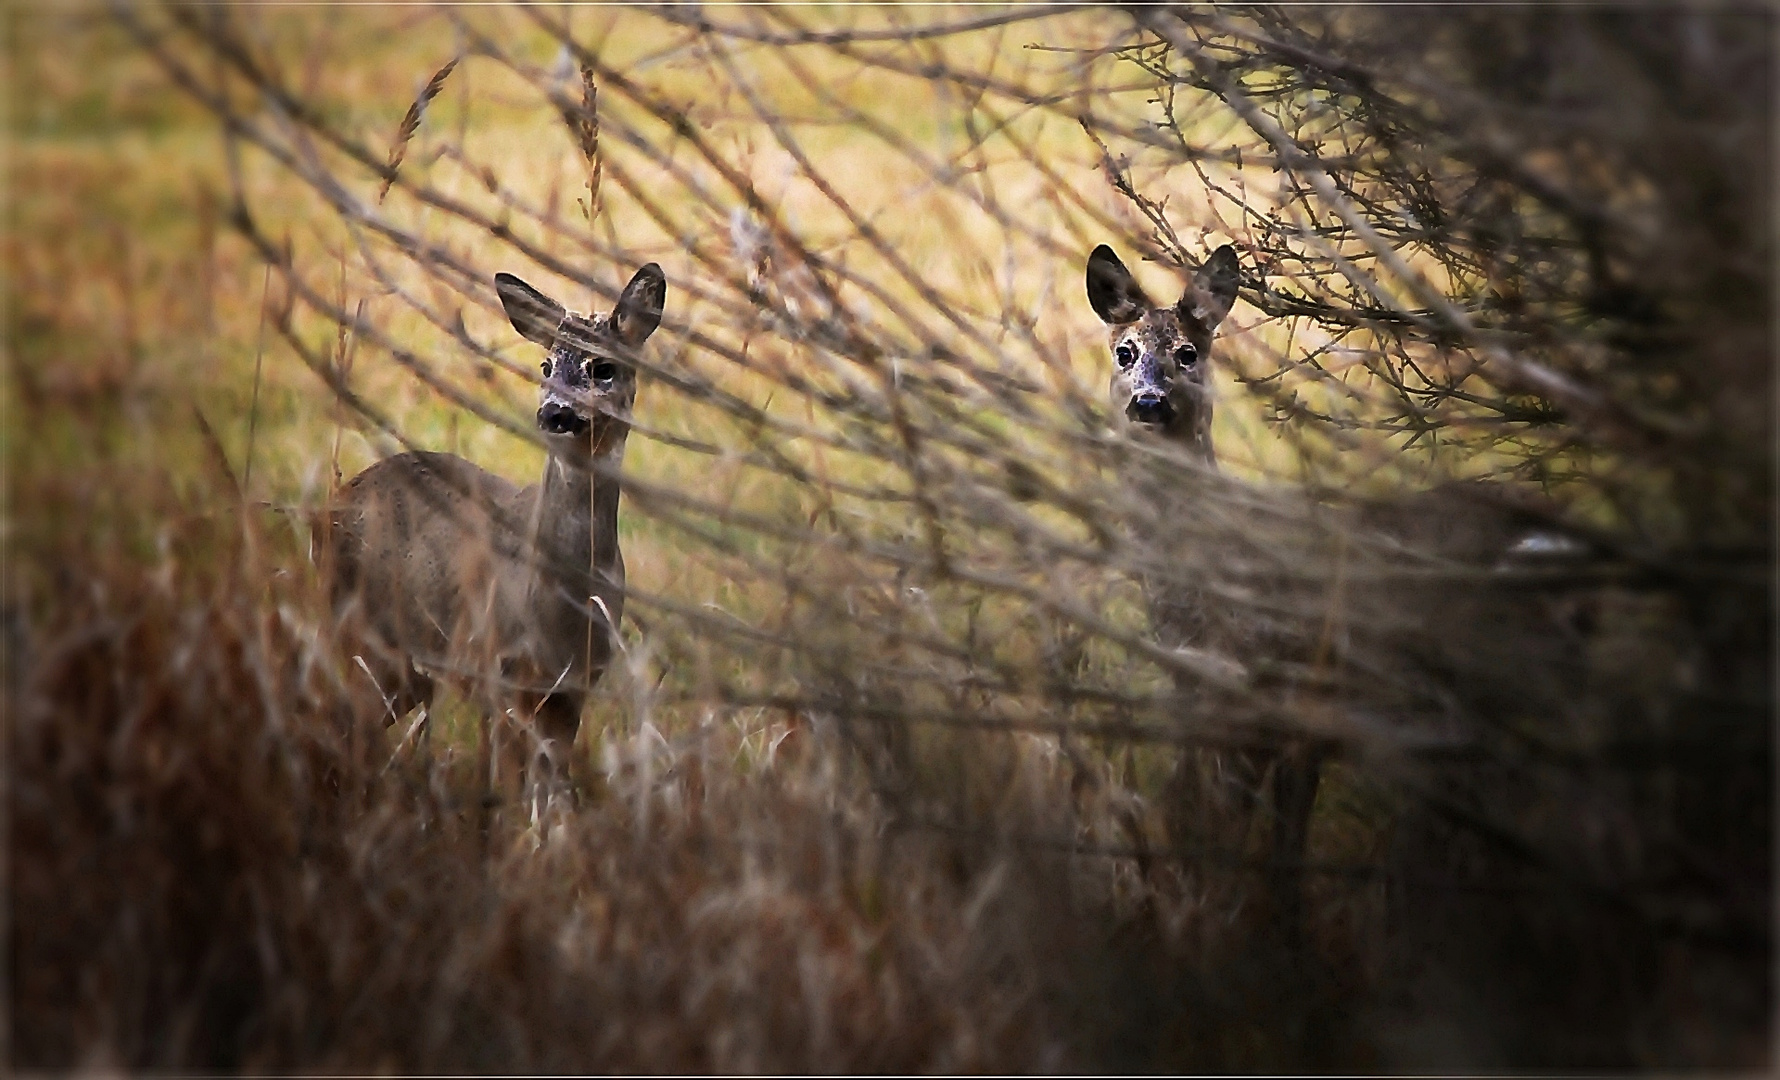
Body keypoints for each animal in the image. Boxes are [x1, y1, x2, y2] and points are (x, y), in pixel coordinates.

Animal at [323, 261, 665, 807]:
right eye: (545, 366)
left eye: (604, 367)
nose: (555, 412)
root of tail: (328, 506)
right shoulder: (501, 671)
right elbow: (511, 789)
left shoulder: (574, 688)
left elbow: (551, 792)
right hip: (363, 634)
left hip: (408, 668)